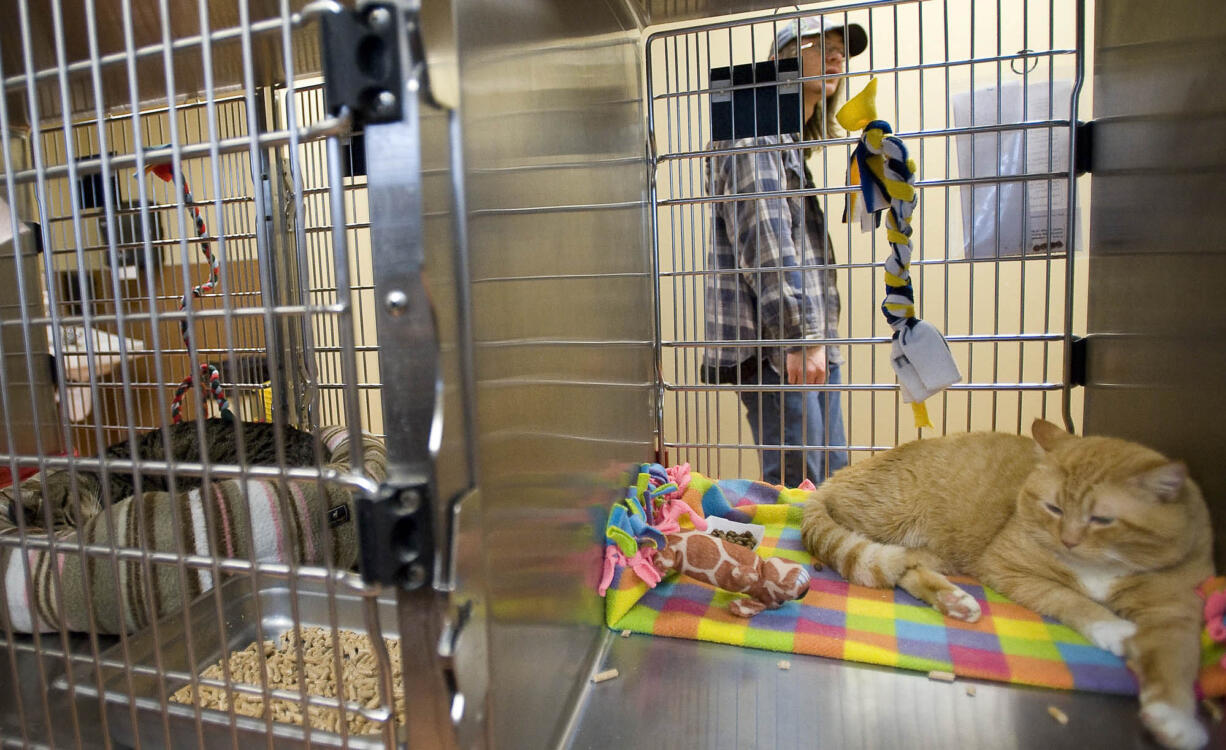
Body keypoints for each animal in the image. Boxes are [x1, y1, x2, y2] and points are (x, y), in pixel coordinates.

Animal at [799, 421, 1211, 750]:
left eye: (1102, 519)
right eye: (1053, 508)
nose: (1069, 540)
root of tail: (834, 478)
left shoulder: (1176, 606)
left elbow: (1176, 660)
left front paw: (1174, 719)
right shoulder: (1006, 567)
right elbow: (1069, 598)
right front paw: (1111, 627)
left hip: (931, 552)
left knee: (905, 568)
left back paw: (954, 599)